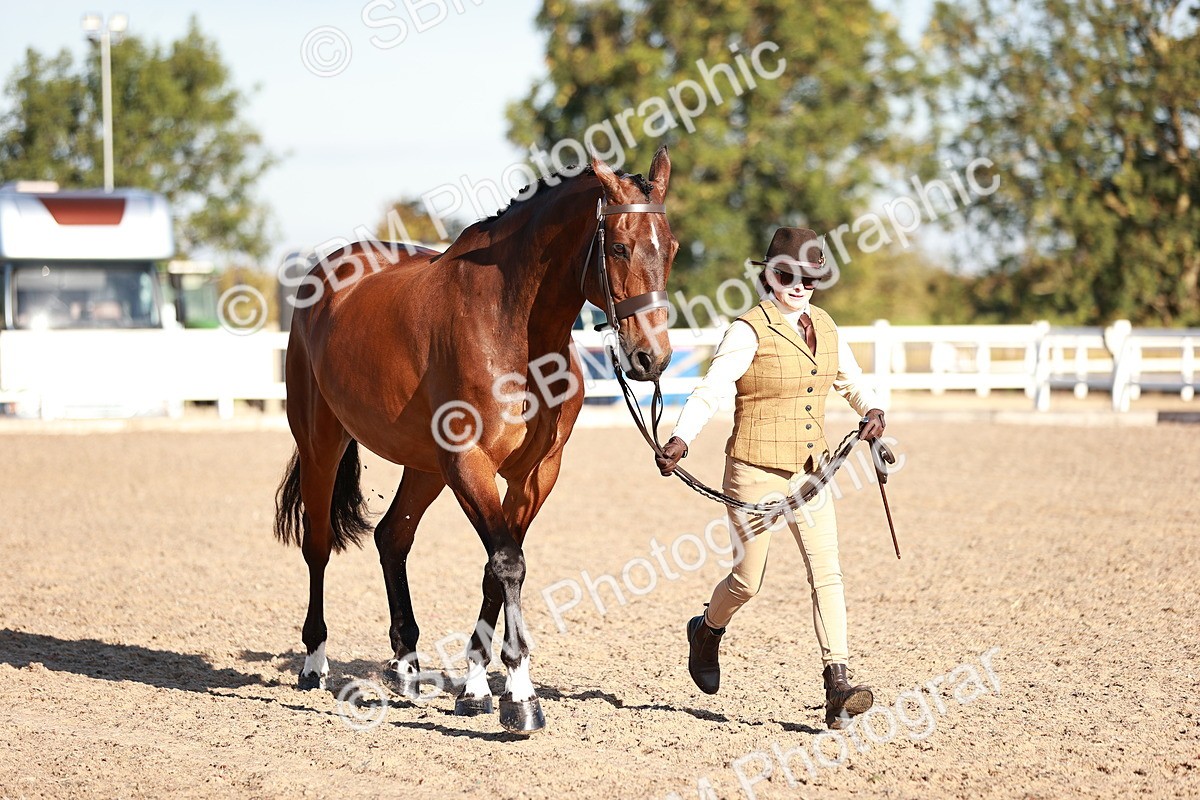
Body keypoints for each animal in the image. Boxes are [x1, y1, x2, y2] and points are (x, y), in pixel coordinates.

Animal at [273, 147, 678, 733]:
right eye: (619, 247)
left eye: (670, 248)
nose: (652, 358)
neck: (512, 328)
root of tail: (324, 274)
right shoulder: (470, 464)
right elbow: (507, 563)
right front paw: (522, 697)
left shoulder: (535, 473)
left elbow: (498, 567)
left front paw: (476, 688)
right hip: (321, 442)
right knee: (319, 544)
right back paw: (314, 663)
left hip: (424, 467)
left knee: (392, 538)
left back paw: (407, 669)